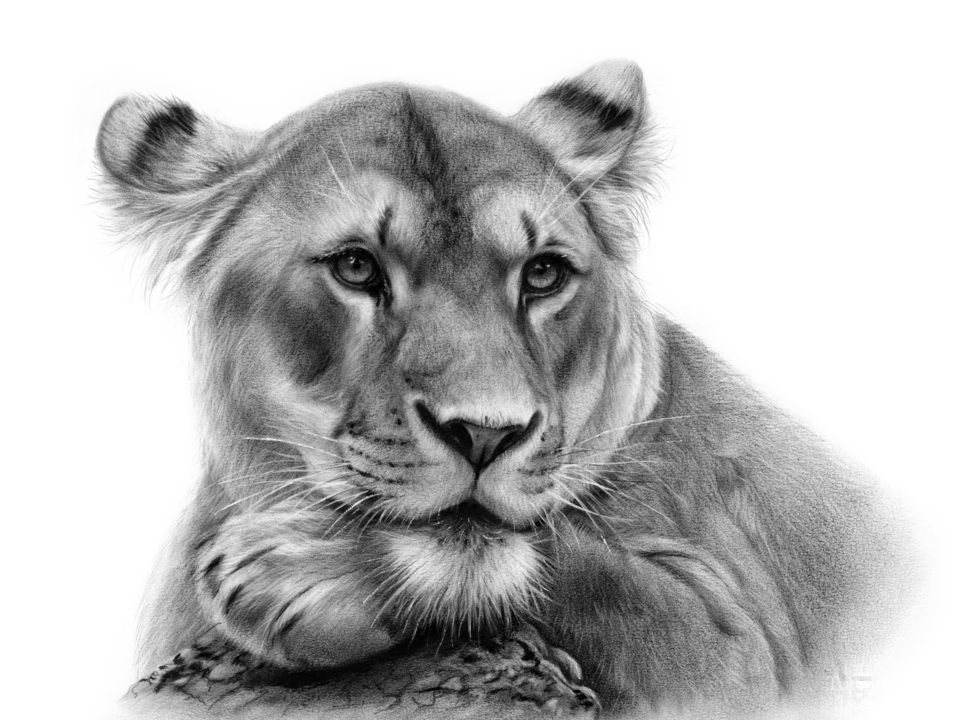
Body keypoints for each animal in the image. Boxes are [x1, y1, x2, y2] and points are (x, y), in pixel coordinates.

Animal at [97, 60, 913, 717]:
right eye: (357, 267)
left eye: (543, 273)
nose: (487, 432)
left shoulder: (741, 652)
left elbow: (585, 570)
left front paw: (302, 571)